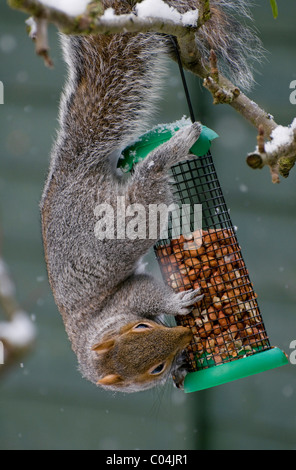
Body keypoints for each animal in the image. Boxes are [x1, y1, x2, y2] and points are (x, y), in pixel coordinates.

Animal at [39, 0, 262, 392]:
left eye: (142, 326)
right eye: (154, 368)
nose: (184, 339)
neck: (99, 330)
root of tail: (70, 171)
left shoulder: (129, 296)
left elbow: (146, 290)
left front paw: (175, 303)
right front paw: (181, 366)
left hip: (120, 226)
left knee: (148, 178)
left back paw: (174, 146)